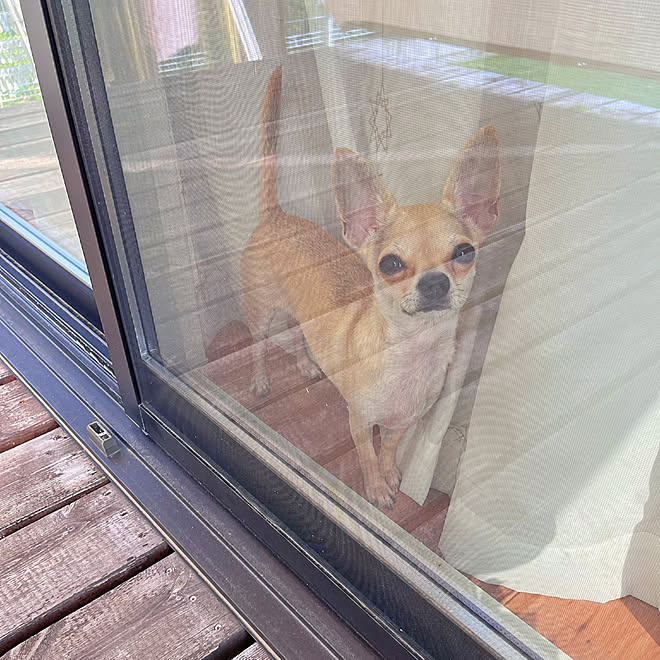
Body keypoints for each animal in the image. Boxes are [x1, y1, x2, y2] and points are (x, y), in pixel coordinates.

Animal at [242, 67, 500, 508]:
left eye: (464, 253)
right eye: (390, 264)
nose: (435, 281)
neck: (413, 354)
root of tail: (276, 216)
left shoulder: (401, 421)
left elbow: (389, 446)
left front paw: (390, 471)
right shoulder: (359, 421)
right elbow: (365, 454)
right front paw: (376, 487)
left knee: (297, 332)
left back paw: (306, 362)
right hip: (260, 314)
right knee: (259, 345)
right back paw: (259, 380)